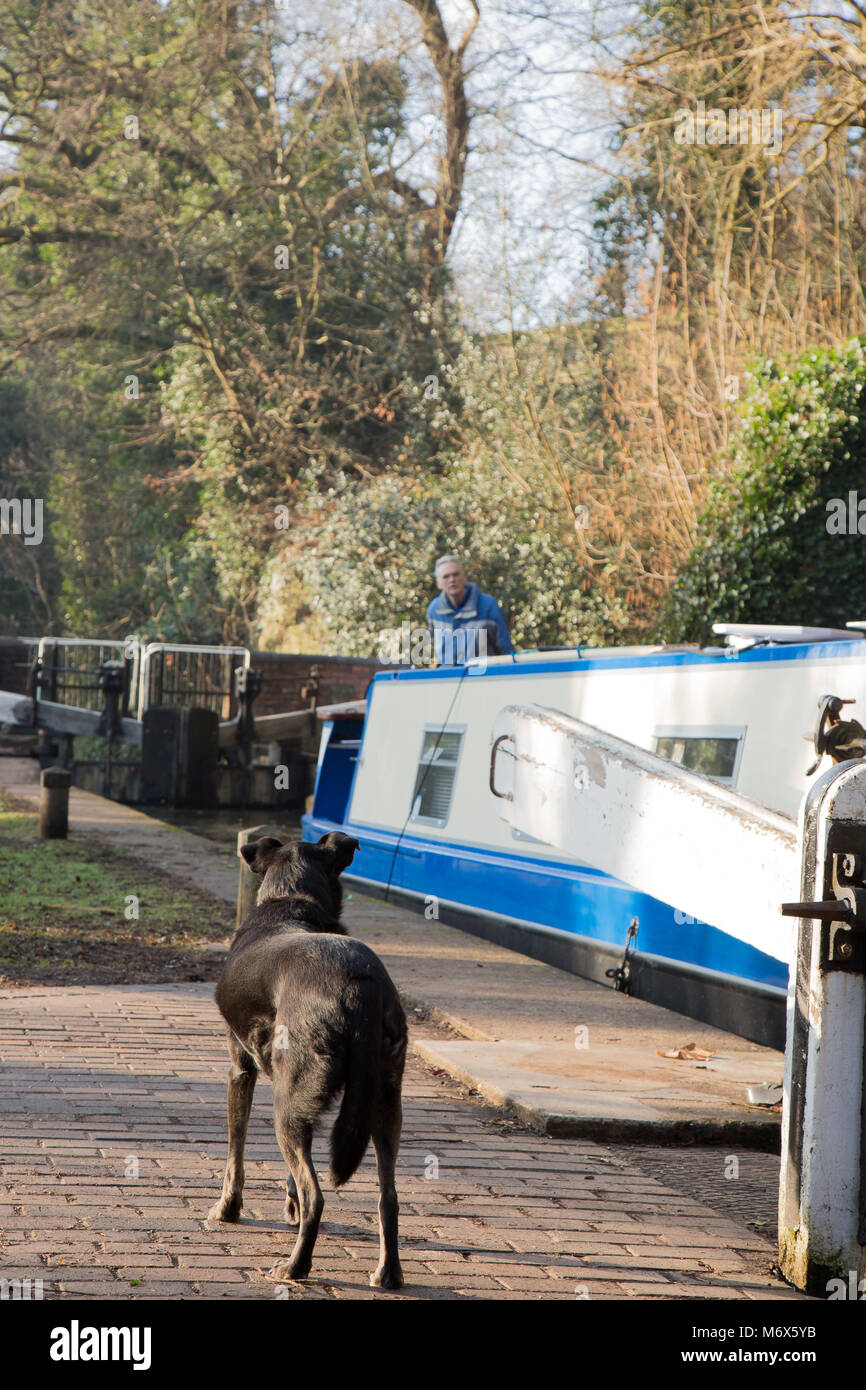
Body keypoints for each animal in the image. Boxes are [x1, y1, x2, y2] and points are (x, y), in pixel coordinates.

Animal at [208, 828, 408, 1284]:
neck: (292, 899)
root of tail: (358, 984)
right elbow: (293, 1174)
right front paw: (290, 1205)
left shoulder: (240, 1069)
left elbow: (235, 1154)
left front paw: (228, 1209)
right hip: (383, 1101)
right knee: (388, 1195)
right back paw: (388, 1273)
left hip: (287, 1104)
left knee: (318, 1194)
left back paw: (295, 1267)